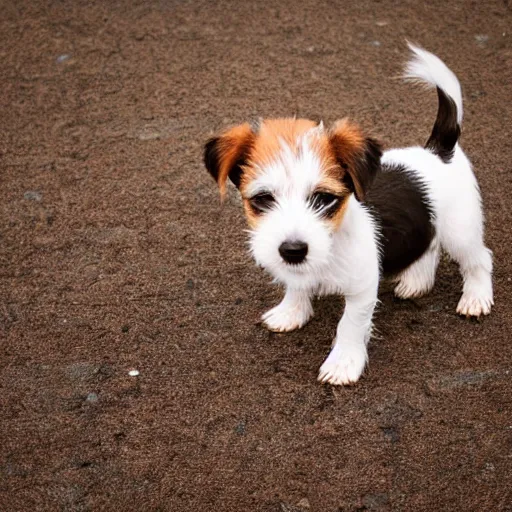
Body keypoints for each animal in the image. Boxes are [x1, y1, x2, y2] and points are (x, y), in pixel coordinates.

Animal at [203, 45, 492, 384]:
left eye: (324, 198)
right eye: (262, 198)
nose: (292, 250)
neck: (333, 243)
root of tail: (439, 150)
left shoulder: (363, 288)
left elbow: (350, 326)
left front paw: (343, 363)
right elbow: (296, 286)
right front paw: (291, 311)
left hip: (461, 229)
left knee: (478, 258)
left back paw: (476, 297)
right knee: (429, 243)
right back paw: (416, 281)